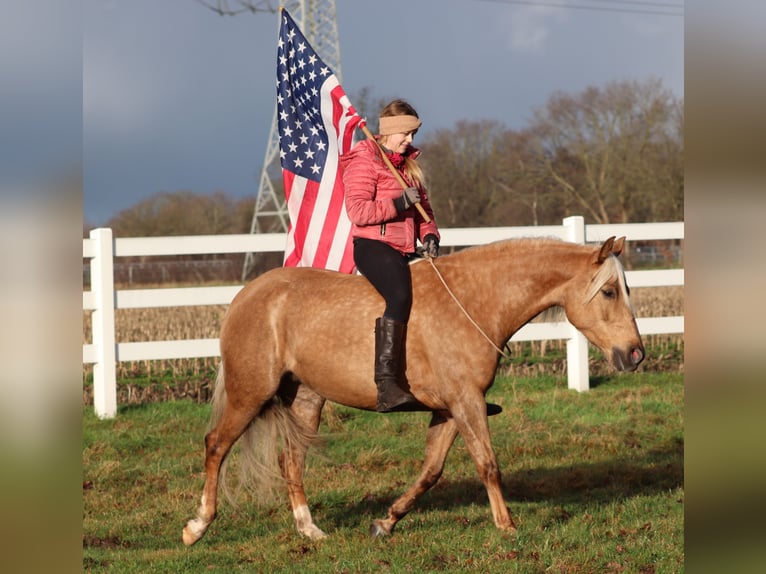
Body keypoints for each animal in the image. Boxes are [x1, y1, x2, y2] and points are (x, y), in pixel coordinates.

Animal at [183, 236, 644, 548]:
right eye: (608, 291)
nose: (636, 354)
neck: (475, 300)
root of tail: (245, 296)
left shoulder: (451, 409)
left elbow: (431, 471)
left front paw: (386, 521)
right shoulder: (466, 402)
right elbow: (488, 465)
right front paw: (508, 527)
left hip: (307, 398)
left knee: (290, 460)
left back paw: (310, 529)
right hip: (249, 393)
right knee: (216, 445)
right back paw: (197, 526)